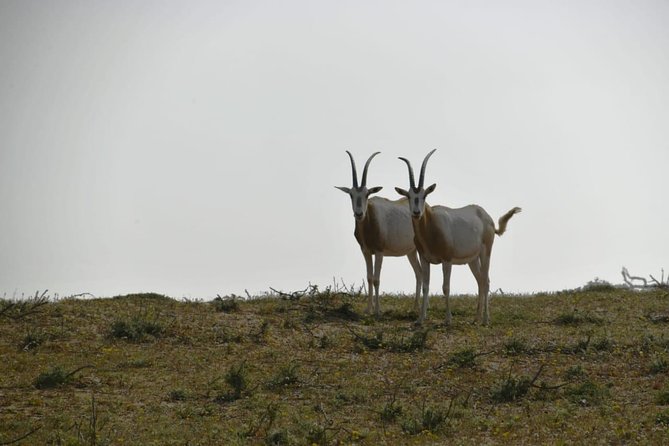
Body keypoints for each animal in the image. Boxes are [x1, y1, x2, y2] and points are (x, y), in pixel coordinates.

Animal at [336, 152, 420, 316]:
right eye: (351, 194)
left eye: (367, 194)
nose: (359, 214)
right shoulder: (366, 251)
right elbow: (369, 278)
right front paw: (368, 309)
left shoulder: (379, 252)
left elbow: (376, 279)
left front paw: (377, 311)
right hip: (411, 252)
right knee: (419, 273)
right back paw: (415, 308)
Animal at [394, 150, 520, 324]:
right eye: (409, 196)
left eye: (425, 195)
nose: (416, 212)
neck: (431, 224)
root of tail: (487, 217)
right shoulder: (424, 259)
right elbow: (426, 286)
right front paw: (420, 320)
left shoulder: (447, 260)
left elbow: (445, 287)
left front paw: (448, 320)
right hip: (472, 260)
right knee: (480, 281)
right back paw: (476, 319)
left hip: (485, 253)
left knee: (486, 281)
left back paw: (486, 320)